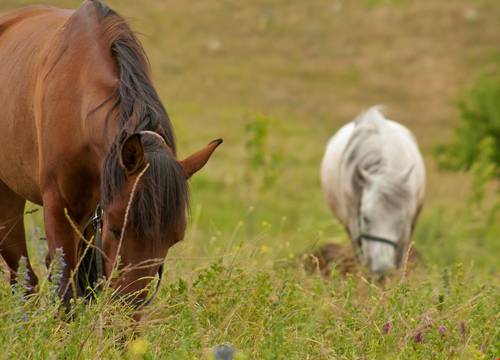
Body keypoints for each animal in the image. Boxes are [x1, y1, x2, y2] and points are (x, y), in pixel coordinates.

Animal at [0, 0, 221, 306]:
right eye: (116, 227)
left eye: (174, 239)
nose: (127, 310)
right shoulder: (59, 207)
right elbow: (64, 286)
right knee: (24, 278)